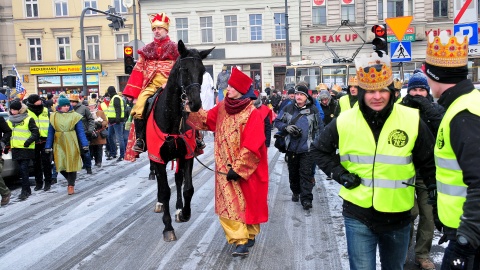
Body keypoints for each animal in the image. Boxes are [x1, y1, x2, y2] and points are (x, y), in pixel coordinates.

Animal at [146, 40, 214, 243]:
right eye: (184, 69)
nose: (195, 103)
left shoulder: (187, 155)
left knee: (178, 180)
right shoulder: (158, 158)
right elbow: (164, 191)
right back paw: (161, 204)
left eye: (202, 71)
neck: (172, 120)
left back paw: (178, 209)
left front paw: (184, 212)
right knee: (161, 185)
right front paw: (167, 227)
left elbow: (188, 188)